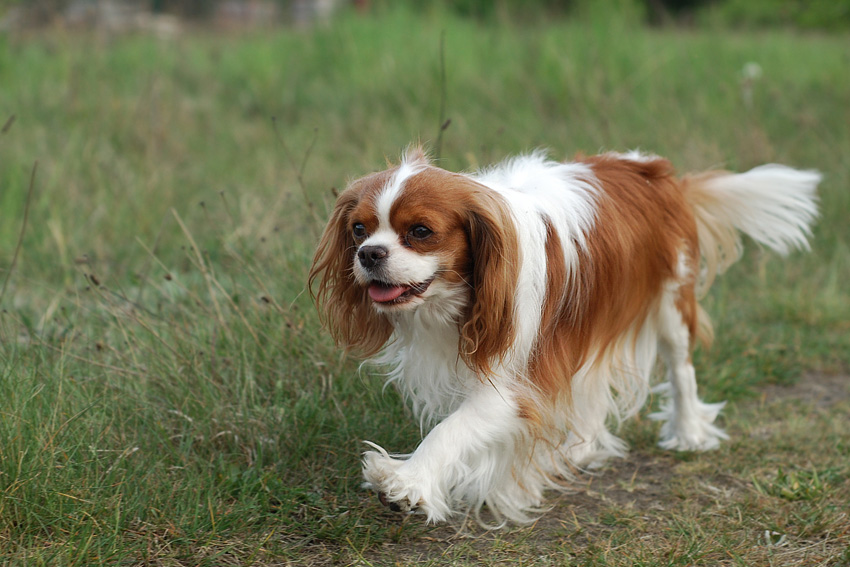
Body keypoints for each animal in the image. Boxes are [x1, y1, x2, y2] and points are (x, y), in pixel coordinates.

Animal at [309, 147, 819, 524]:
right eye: (359, 229)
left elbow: (450, 431)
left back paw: (689, 432)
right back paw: (585, 447)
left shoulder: (512, 384)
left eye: (420, 231)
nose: (369, 254)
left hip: (671, 300)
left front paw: (408, 483)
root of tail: (652, 169)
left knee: (681, 370)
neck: (456, 300)